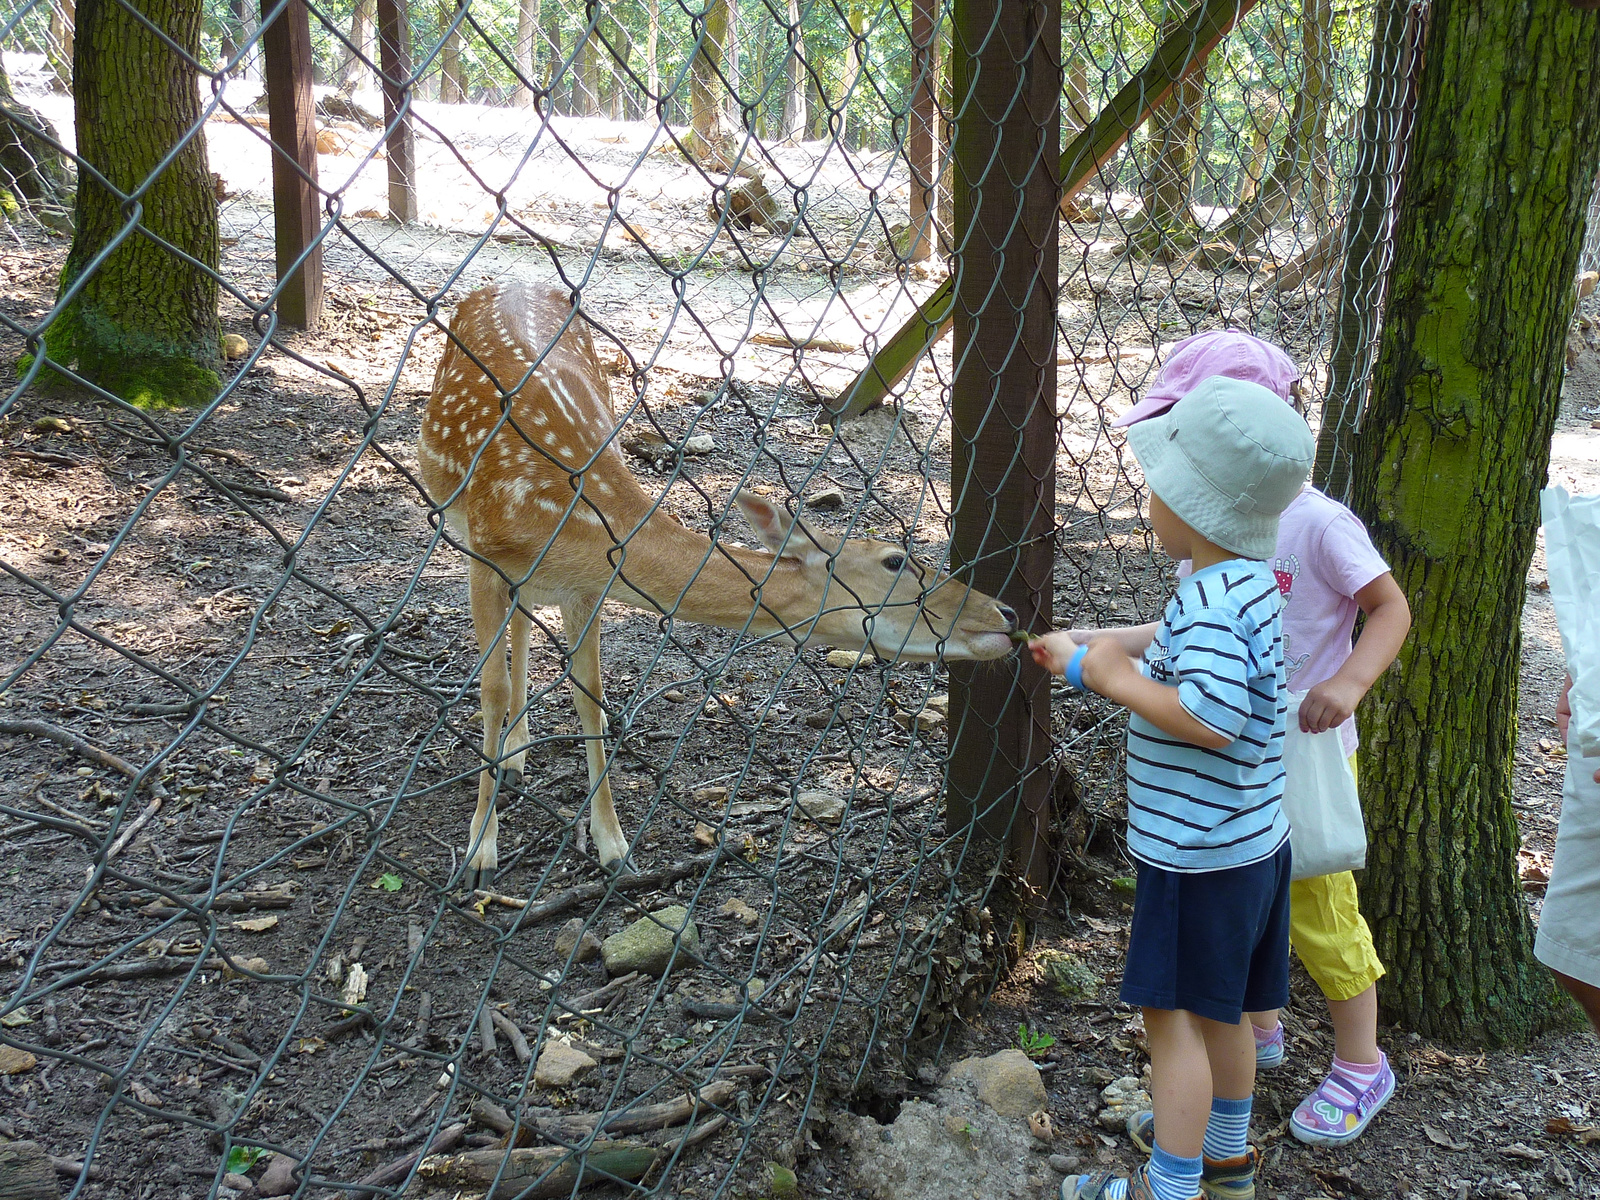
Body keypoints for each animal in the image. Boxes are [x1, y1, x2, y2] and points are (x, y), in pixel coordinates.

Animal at [412, 281, 1011, 883]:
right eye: (894, 560)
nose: (1005, 615)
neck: (564, 516)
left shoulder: (587, 589)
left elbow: (591, 696)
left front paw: (614, 845)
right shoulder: (483, 559)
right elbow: (490, 689)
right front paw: (480, 851)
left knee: (524, 622)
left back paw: (518, 750)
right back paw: (510, 759)